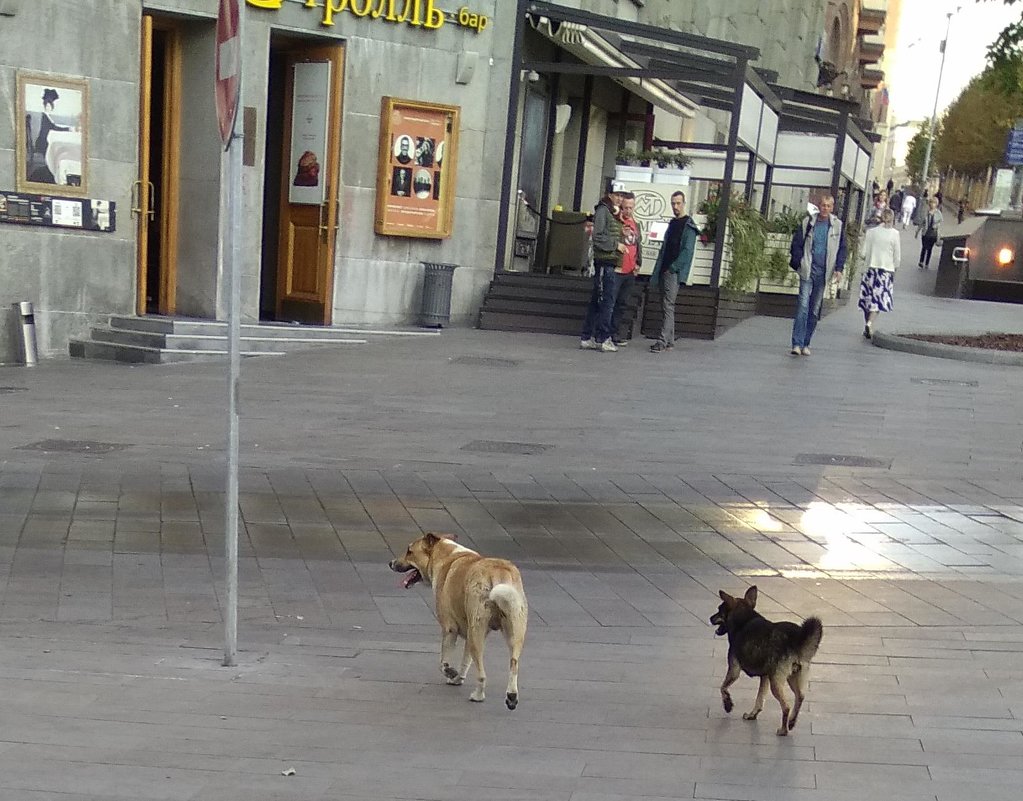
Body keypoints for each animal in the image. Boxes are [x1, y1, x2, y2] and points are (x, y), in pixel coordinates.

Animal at [384, 536, 527, 712]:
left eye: (409, 551)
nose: (390, 563)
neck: (446, 556)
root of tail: (498, 571)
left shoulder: (449, 628)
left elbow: (443, 662)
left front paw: (450, 672)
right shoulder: (468, 635)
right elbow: (465, 661)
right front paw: (458, 678)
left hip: (478, 630)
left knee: (482, 675)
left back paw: (478, 696)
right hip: (513, 631)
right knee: (513, 664)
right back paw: (511, 697)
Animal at [712, 585, 822, 736]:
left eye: (719, 610)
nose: (710, 618)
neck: (743, 619)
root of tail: (797, 640)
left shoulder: (734, 669)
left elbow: (723, 687)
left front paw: (728, 704)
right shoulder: (765, 676)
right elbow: (759, 698)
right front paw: (752, 714)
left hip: (776, 682)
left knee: (786, 706)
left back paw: (783, 730)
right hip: (794, 677)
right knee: (800, 697)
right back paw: (791, 722)